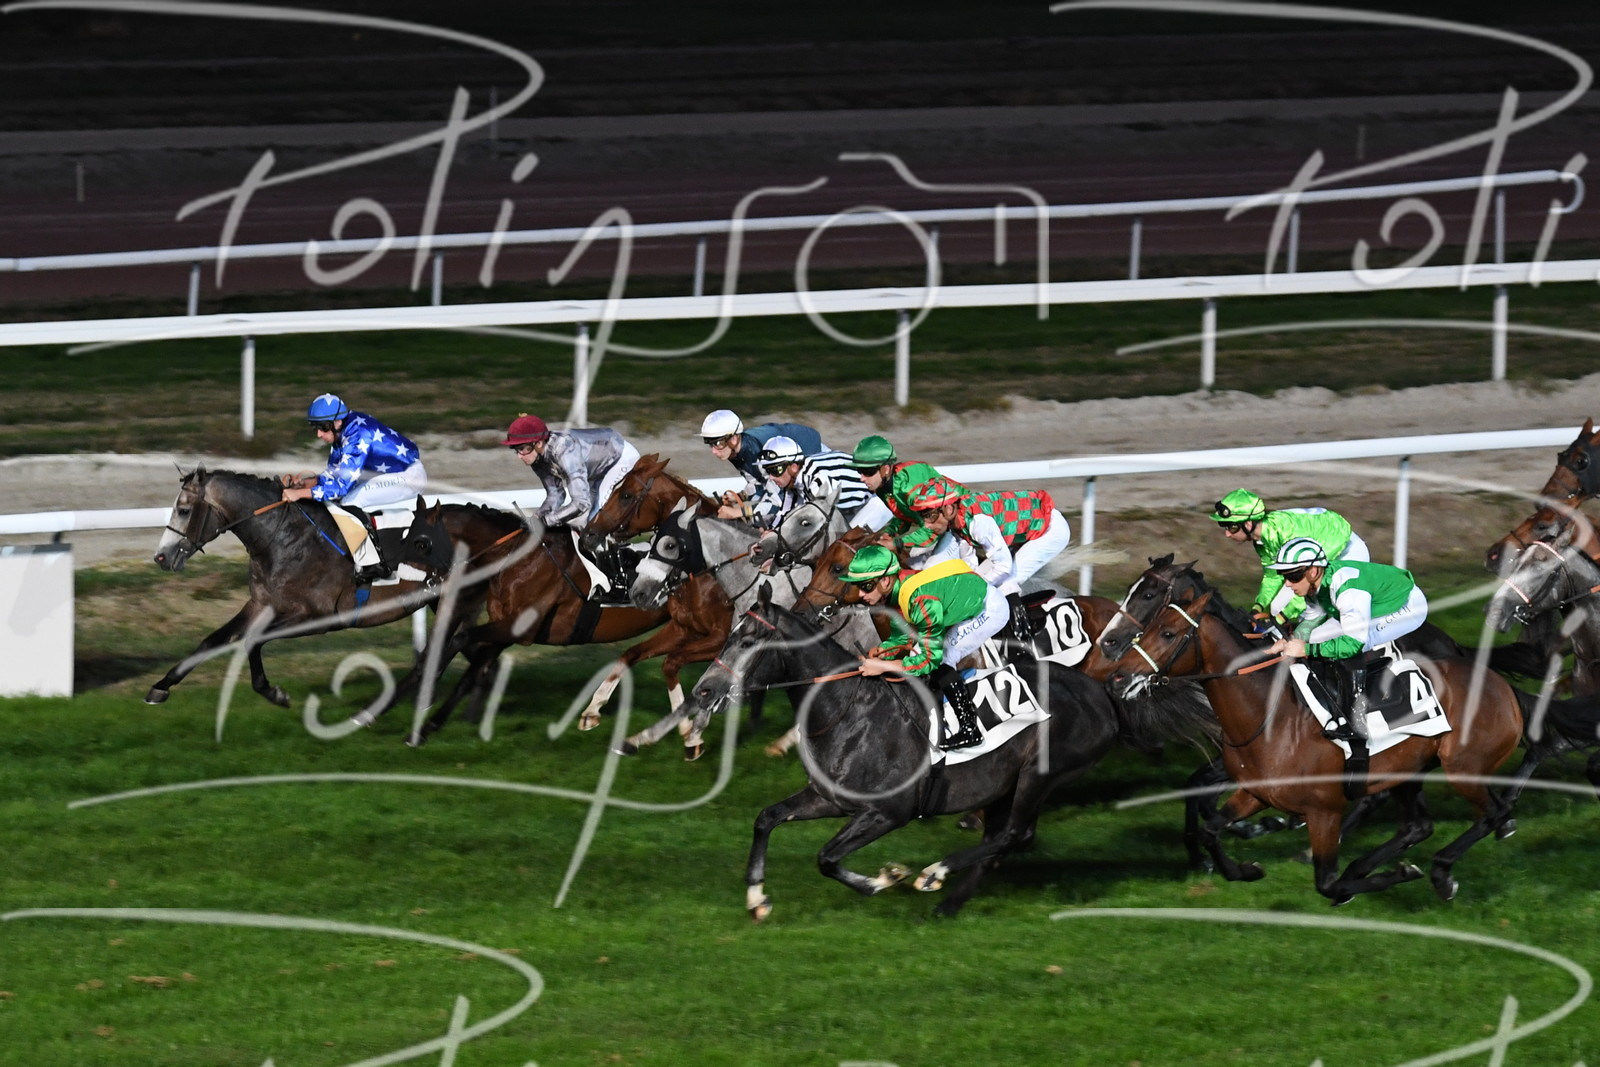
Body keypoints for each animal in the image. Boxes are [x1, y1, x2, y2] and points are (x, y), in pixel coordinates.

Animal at [147, 467, 457, 707]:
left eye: (184, 510)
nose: (161, 557)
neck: (283, 538)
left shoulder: (318, 615)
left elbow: (253, 640)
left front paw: (274, 693)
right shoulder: (261, 604)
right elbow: (212, 640)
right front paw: (161, 686)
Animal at [692, 591, 1130, 920]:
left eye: (748, 642)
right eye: (730, 636)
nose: (703, 690)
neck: (847, 710)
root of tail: (1100, 696)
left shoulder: (888, 811)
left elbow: (826, 857)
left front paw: (884, 879)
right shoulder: (829, 798)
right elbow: (766, 818)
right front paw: (756, 898)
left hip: (1039, 774)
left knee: (1013, 834)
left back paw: (935, 873)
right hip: (1005, 786)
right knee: (1003, 839)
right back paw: (948, 904)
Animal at [1099, 587, 1531, 904]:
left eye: (1168, 634)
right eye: (1145, 630)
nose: (1118, 677)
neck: (1270, 715)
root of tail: (1501, 686)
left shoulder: (1324, 810)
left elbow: (1326, 883)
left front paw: (1393, 875)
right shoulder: (1255, 793)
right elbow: (1210, 830)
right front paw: (1245, 869)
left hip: (1463, 767)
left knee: (1492, 814)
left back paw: (1441, 871)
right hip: (1409, 771)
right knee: (1418, 826)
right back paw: (1376, 864)